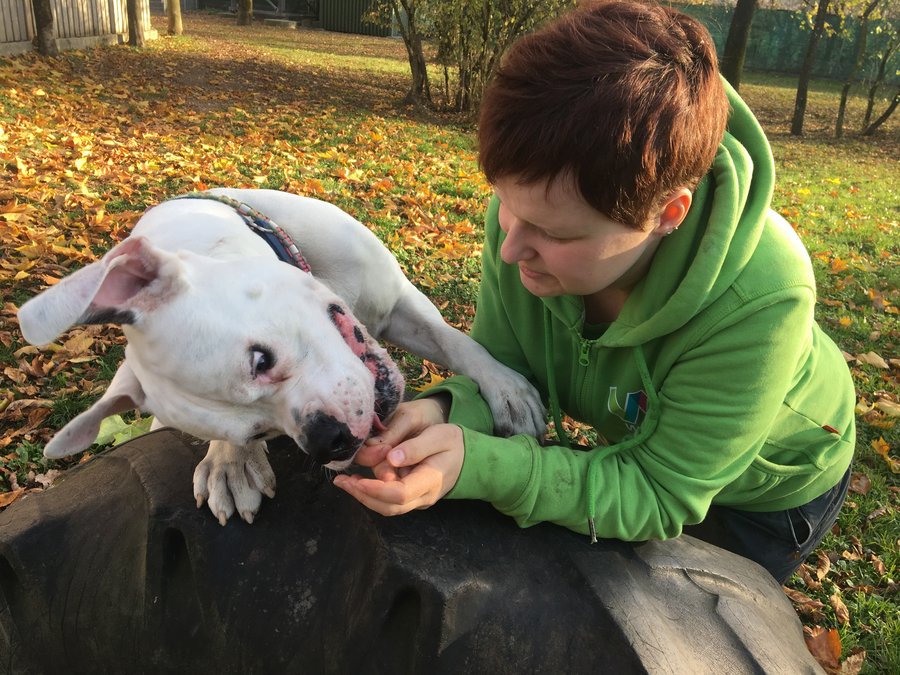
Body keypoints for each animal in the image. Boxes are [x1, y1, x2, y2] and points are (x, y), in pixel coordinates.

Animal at [17, 190, 544, 528]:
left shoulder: (401, 306)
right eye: (257, 433)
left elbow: (456, 341)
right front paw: (230, 465)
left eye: (261, 360)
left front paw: (508, 390)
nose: (329, 440)